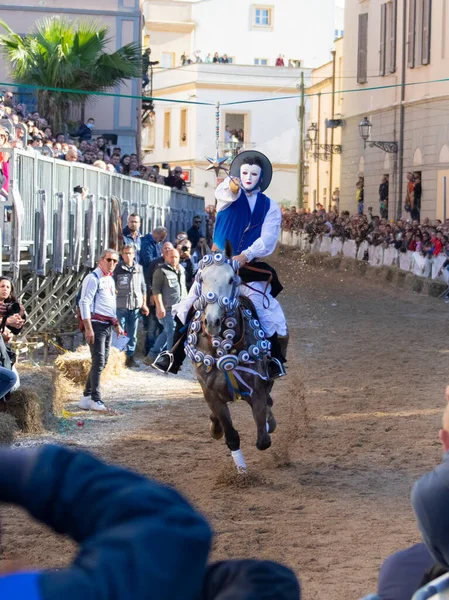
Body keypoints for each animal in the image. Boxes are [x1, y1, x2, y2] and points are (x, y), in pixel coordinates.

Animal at [183, 243, 276, 474]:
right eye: (201, 278)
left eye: (231, 279)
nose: (212, 322)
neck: (225, 349)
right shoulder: (211, 394)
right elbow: (231, 435)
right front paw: (241, 472)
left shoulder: (255, 389)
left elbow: (263, 439)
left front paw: (267, 422)